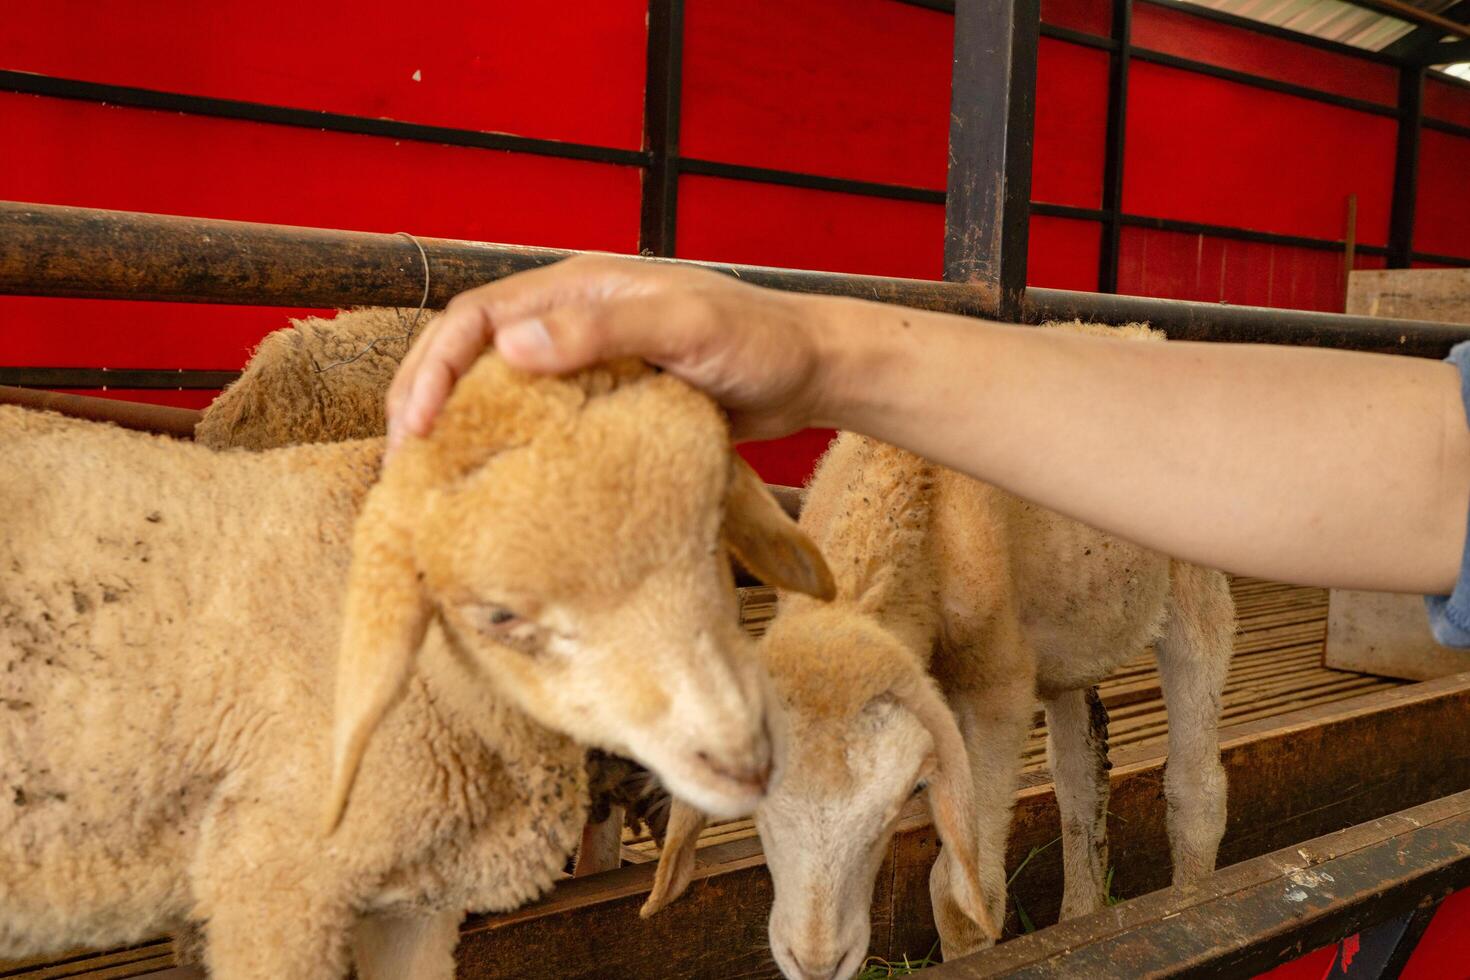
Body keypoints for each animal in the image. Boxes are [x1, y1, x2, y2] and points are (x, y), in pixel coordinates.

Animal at [649, 323, 1234, 980]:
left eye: (895, 804)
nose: (817, 962)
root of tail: (1144, 331)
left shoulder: (996, 690)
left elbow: (963, 897)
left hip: (1196, 587)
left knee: (1196, 787)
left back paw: (1191, 899)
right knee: (1082, 779)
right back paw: (1082, 917)